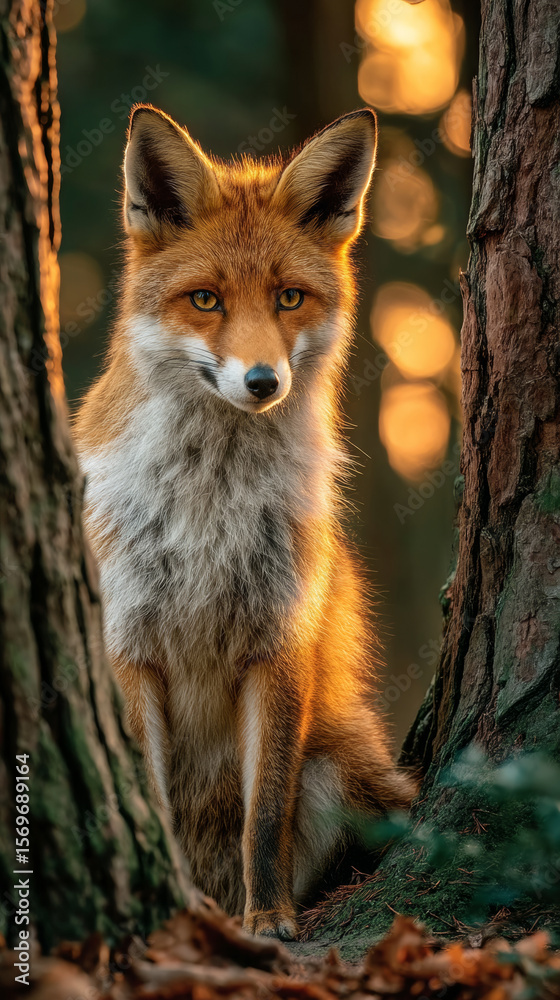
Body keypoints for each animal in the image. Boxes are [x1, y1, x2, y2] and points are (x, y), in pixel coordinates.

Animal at [74, 105, 416, 940]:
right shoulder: (128, 647)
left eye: (289, 298)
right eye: (206, 300)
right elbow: (151, 807)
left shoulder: (279, 644)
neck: (208, 507)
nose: (263, 381)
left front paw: (268, 920)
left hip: (343, 764)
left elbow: (266, 815)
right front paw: (175, 919)